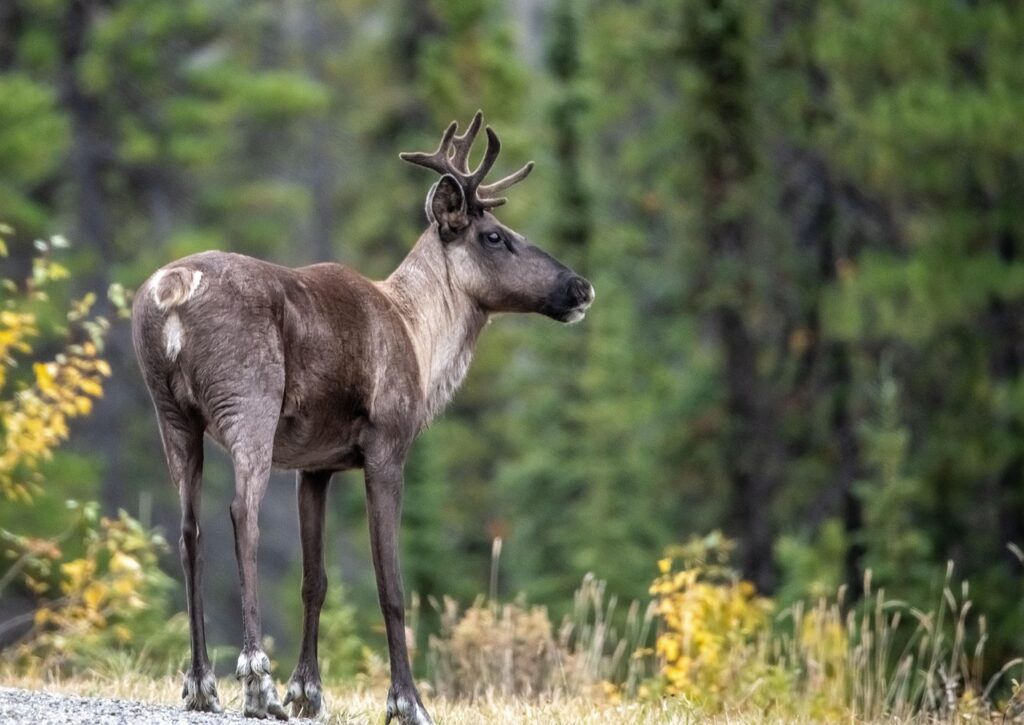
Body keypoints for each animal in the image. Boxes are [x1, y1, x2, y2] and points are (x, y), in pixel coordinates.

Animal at [131, 111, 594, 724]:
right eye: (495, 236)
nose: (581, 287)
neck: (421, 340)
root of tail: (170, 293)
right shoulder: (387, 447)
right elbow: (390, 586)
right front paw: (406, 701)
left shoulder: (315, 465)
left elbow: (315, 580)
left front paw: (309, 691)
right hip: (248, 402)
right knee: (240, 514)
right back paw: (256, 683)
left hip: (172, 414)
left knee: (189, 530)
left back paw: (201, 683)